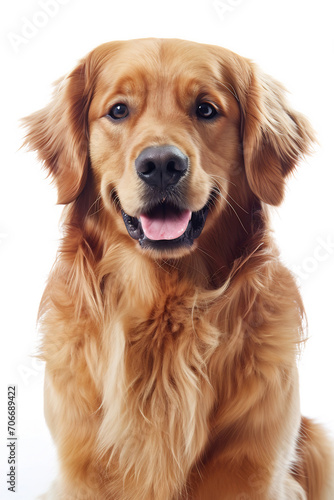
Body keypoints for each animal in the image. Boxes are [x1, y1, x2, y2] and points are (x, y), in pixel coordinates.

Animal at [22, 37, 332, 498]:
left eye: (206, 109)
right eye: (118, 110)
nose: (162, 165)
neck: (165, 304)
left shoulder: (255, 468)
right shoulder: (80, 471)